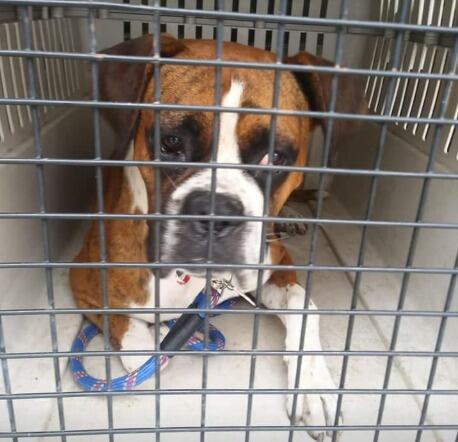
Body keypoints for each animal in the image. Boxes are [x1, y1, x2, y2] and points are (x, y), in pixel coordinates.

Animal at [70, 34, 365, 440]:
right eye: (171, 142)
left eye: (275, 156)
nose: (214, 211)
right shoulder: (82, 278)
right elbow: (129, 329)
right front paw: (152, 341)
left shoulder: (274, 267)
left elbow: (304, 306)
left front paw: (312, 385)